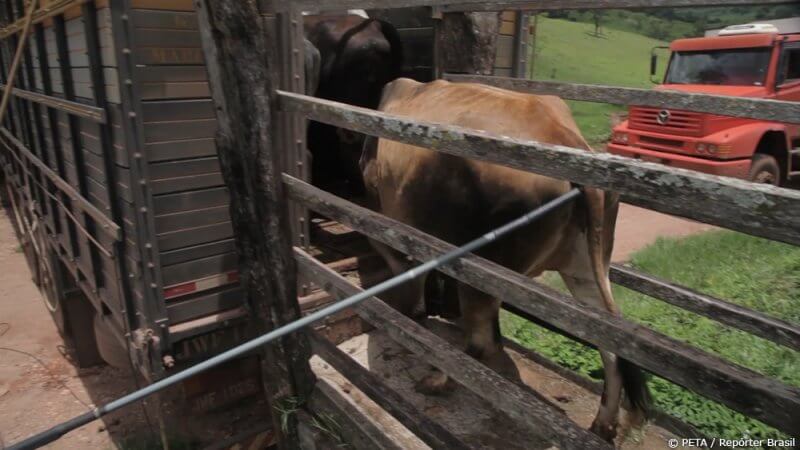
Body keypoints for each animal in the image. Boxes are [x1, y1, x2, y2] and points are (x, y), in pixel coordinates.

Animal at [362, 78, 648, 442]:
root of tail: (566, 137)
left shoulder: (389, 220)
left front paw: (411, 318)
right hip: (584, 263)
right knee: (609, 343)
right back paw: (603, 424)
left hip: (483, 261)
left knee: (480, 339)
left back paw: (438, 381)